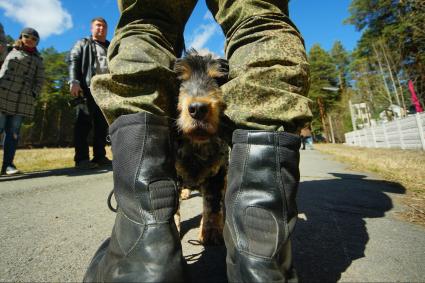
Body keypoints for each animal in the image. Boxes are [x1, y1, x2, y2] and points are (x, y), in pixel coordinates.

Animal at [173, 50, 229, 245]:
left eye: (218, 80)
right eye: (180, 80)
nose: (198, 109)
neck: (196, 145)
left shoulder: (219, 171)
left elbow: (213, 202)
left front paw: (210, 230)